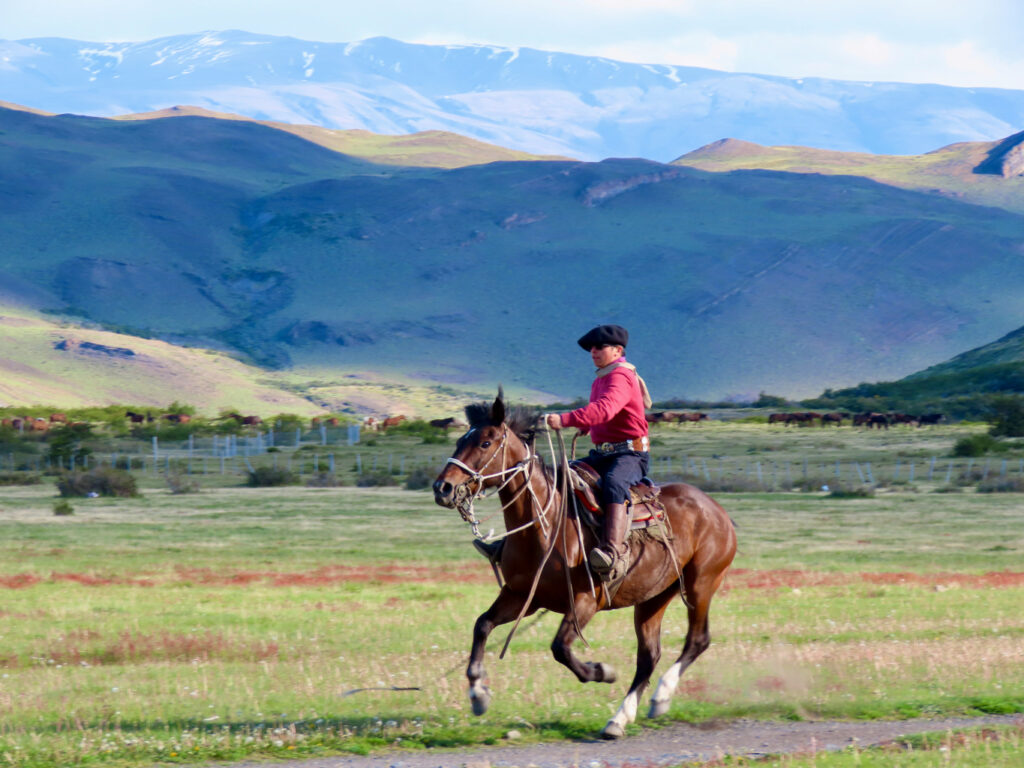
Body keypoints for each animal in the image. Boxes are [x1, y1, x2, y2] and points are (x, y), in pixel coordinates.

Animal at [432, 391, 736, 740]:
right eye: (460, 440)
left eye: (485, 442)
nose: (442, 488)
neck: (546, 525)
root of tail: (718, 511)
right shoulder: (521, 595)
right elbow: (482, 625)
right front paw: (478, 693)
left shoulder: (585, 601)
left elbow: (560, 648)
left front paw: (601, 671)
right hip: (653, 597)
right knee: (649, 656)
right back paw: (619, 719)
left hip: (701, 584)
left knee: (697, 640)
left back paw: (660, 697)